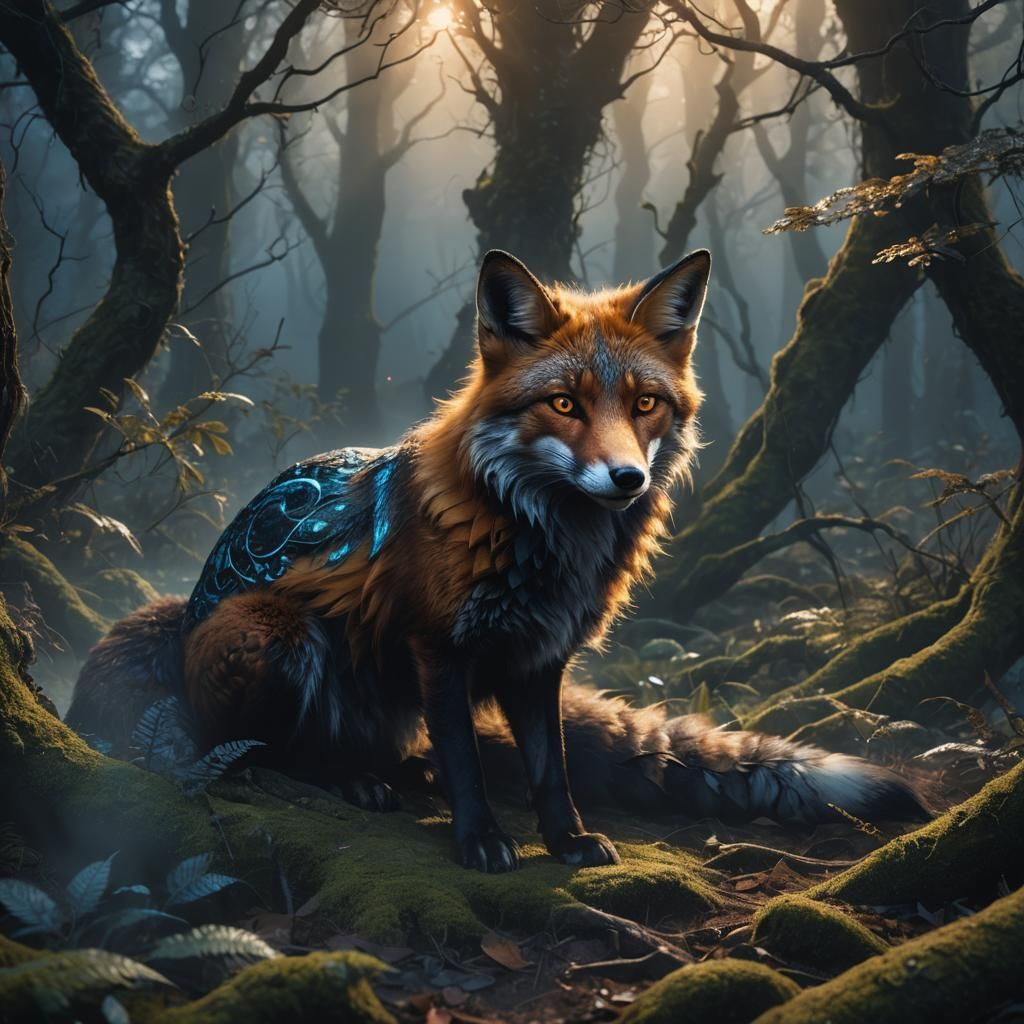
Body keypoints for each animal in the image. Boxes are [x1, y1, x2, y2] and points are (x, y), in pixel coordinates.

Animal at [67, 249, 927, 873]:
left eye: (645, 404)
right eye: (564, 404)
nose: (627, 478)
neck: (543, 540)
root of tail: (182, 619)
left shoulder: (539, 658)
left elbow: (551, 767)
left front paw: (567, 839)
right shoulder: (440, 649)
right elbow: (469, 766)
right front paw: (479, 841)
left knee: (401, 753)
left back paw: (398, 774)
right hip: (271, 631)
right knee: (254, 751)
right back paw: (346, 780)